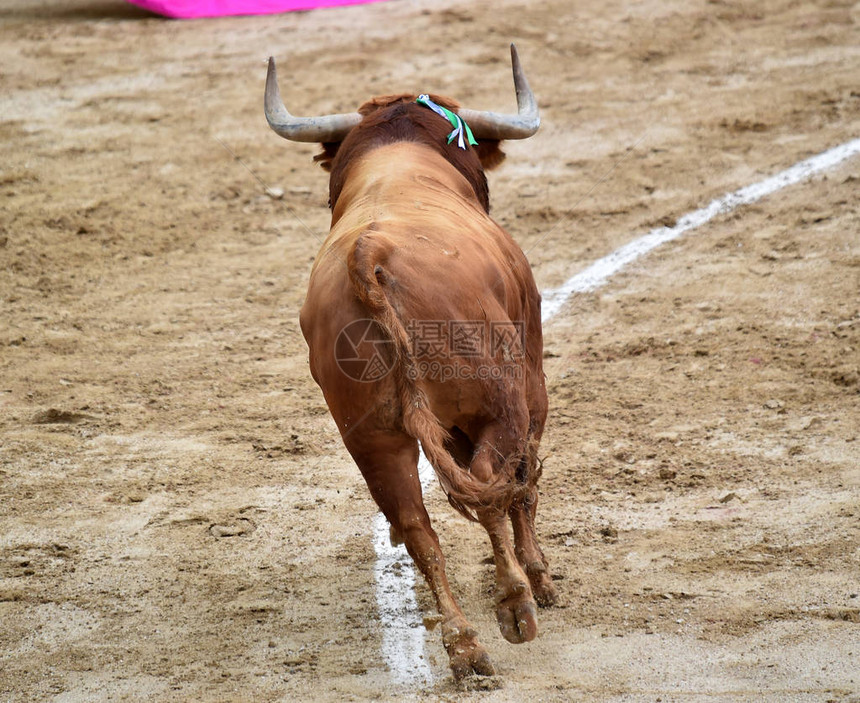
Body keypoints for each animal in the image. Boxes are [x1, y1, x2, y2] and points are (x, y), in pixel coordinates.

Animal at [264, 45, 556, 680]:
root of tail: (369, 253)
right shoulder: (531, 380)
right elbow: (521, 487)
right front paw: (540, 577)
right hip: (501, 405)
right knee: (495, 486)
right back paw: (515, 605)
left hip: (371, 440)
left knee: (417, 525)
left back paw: (466, 646)